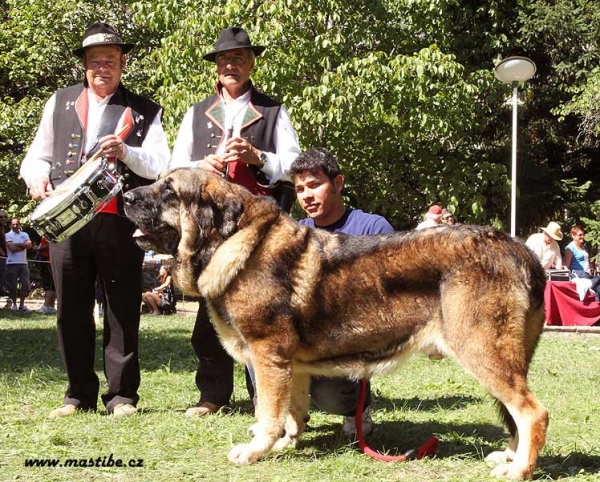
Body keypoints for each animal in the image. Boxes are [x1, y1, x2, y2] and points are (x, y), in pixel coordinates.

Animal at [123, 168, 548, 476]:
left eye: (169, 191)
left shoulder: (267, 355)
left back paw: (519, 470)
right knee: (516, 413)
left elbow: (268, 412)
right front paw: (286, 442)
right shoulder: (289, 365)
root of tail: (522, 251)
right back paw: (510, 458)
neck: (231, 241)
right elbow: (291, 411)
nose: (125, 196)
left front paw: (257, 449)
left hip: (483, 353)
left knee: (532, 412)